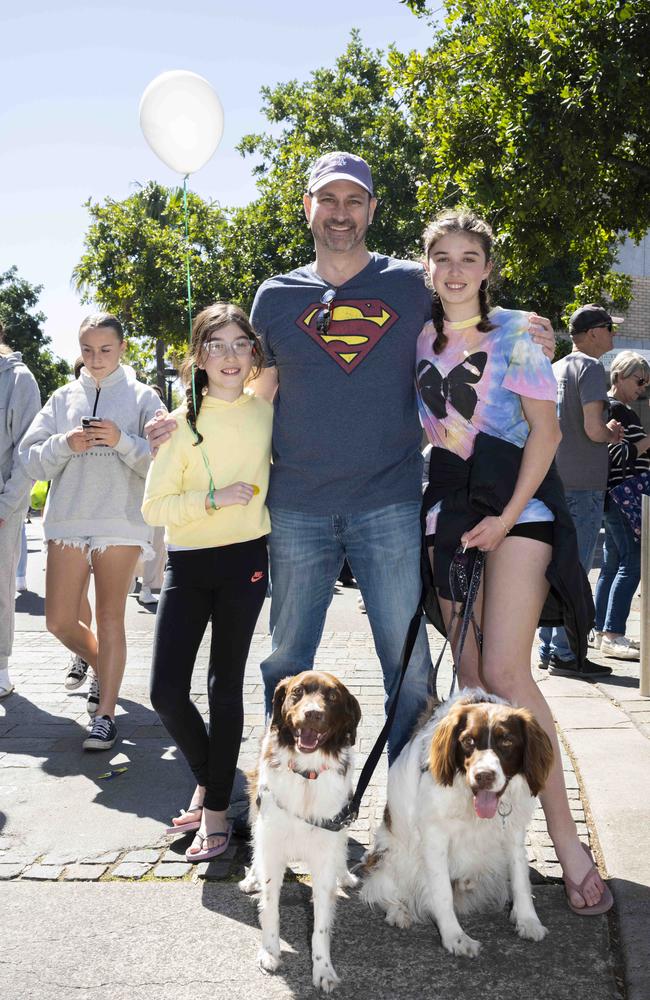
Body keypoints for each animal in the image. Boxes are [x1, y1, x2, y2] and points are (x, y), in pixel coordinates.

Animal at [238, 672, 360, 992]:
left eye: (332, 697)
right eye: (297, 692)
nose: (313, 714)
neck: (307, 775)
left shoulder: (326, 846)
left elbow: (321, 924)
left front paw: (323, 969)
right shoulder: (272, 844)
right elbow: (270, 906)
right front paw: (269, 952)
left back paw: (346, 875)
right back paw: (251, 878)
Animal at [360, 692, 552, 956]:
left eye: (507, 741)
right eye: (468, 741)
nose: (484, 776)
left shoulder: (513, 832)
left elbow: (521, 877)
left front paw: (527, 920)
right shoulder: (435, 838)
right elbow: (442, 893)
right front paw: (455, 937)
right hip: (392, 855)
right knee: (380, 889)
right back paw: (399, 912)